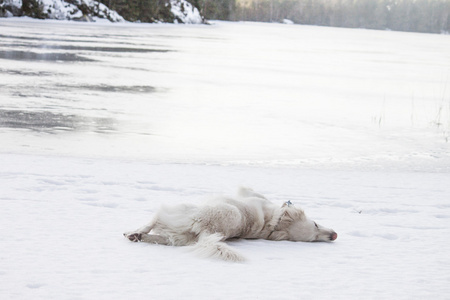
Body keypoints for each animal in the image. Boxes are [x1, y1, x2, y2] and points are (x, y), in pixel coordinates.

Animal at [124, 186, 338, 262]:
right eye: (316, 226)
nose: (334, 235)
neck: (274, 222)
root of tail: (208, 231)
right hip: (178, 234)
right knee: (158, 235)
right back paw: (138, 236)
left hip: (184, 210)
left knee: (156, 218)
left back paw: (135, 233)